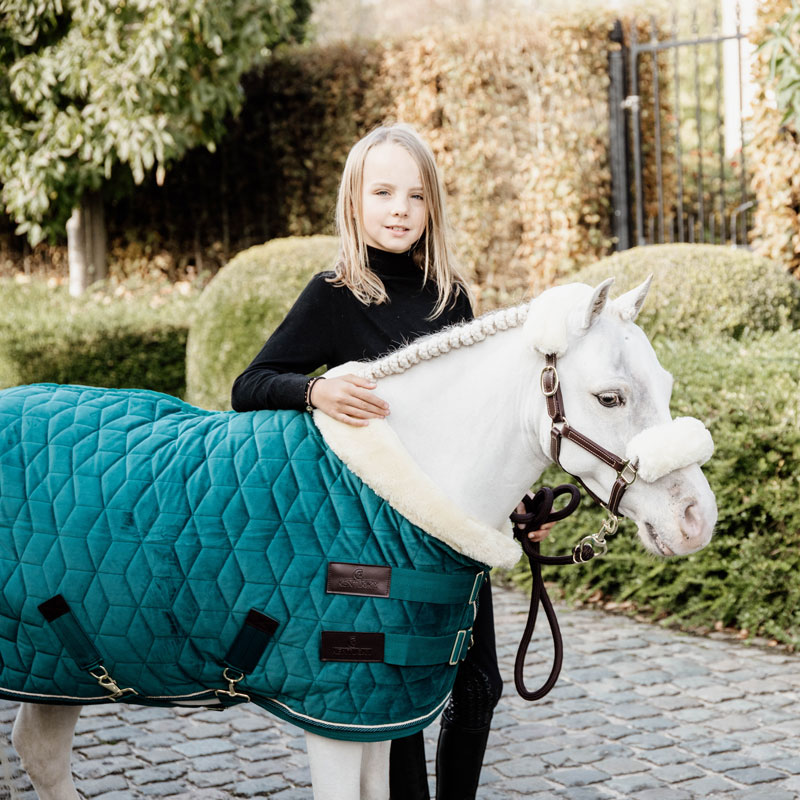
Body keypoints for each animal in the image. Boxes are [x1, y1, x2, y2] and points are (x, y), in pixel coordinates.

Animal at [4, 277, 716, 800]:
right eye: (609, 397)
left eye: (666, 386)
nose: (695, 518)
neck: (387, 490)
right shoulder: (334, 713)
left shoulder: (372, 711)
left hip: (58, 668)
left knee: (41, 752)